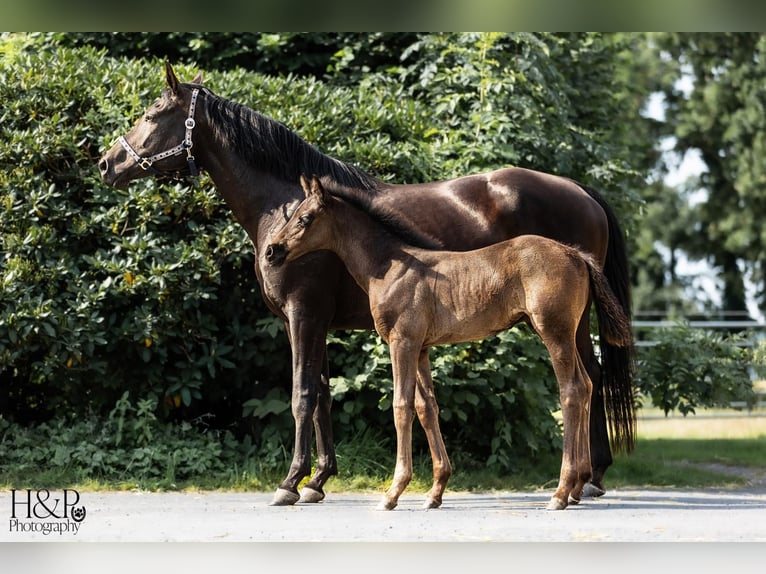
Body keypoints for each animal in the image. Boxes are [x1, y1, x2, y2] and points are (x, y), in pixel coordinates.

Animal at [266, 176, 634, 510]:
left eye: (305, 218)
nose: (272, 251)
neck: (390, 266)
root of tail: (576, 255)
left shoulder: (402, 341)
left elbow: (401, 406)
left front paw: (393, 492)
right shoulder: (422, 348)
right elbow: (427, 408)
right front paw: (435, 492)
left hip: (554, 331)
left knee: (572, 390)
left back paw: (560, 492)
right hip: (567, 332)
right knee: (587, 384)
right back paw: (576, 487)